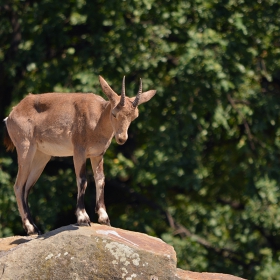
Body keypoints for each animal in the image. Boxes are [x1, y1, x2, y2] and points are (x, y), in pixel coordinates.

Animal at [4, 75, 156, 235]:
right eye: (114, 113)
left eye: (134, 116)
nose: (122, 138)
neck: (97, 119)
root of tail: (11, 115)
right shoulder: (79, 152)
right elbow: (82, 180)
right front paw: (83, 218)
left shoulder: (97, 155)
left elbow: (100, 179)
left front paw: (104, 218)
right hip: (25, 149)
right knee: (18, 186)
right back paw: (30, 228)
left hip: (41, 157)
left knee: (26, 188)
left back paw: (35, 228)